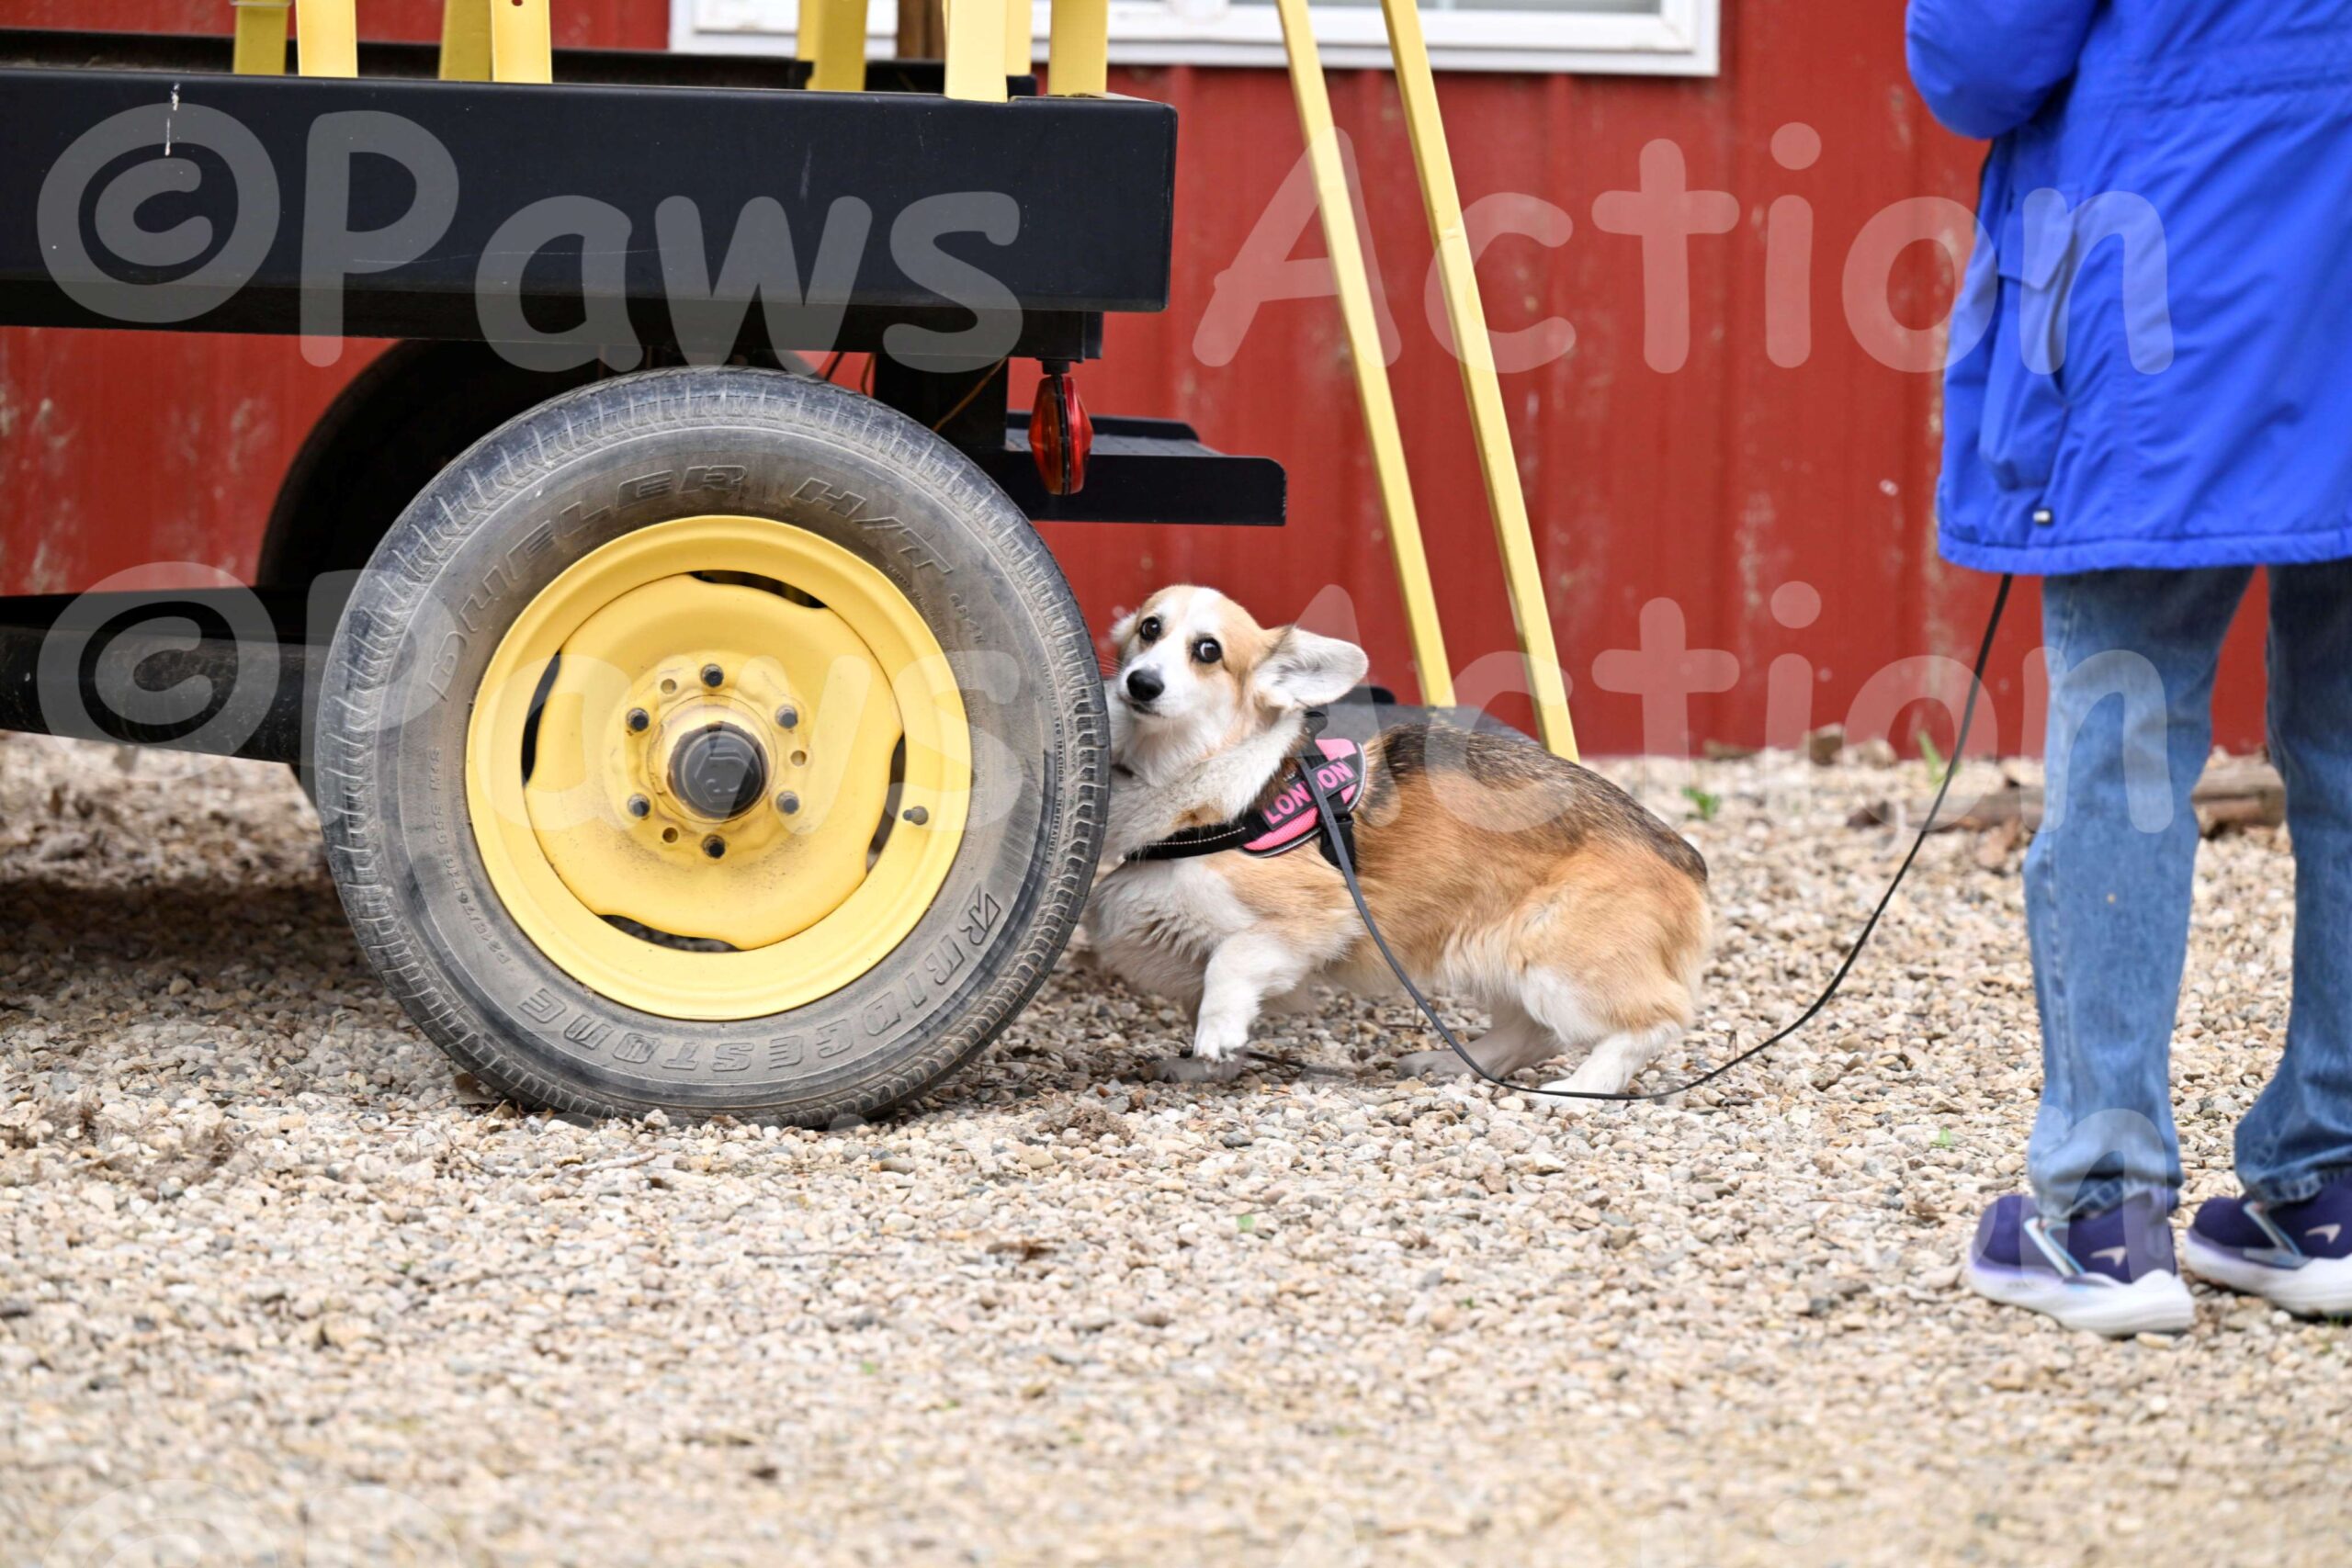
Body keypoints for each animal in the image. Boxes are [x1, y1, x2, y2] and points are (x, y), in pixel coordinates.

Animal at [1084, 585, 1711, 1102]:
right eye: (1150, 628)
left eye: (1208, 650)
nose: (1141, 683)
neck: (1199, 773)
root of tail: (1682, 854)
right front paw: (1204, 1065)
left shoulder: (1316, 915)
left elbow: (1228, 967)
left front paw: (1216, 1037)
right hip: (1491, 955)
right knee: (1532, 1031)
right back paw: (1450, 1063)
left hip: (1555, 960)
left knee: (1654, 1021)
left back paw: (1580, 1088)